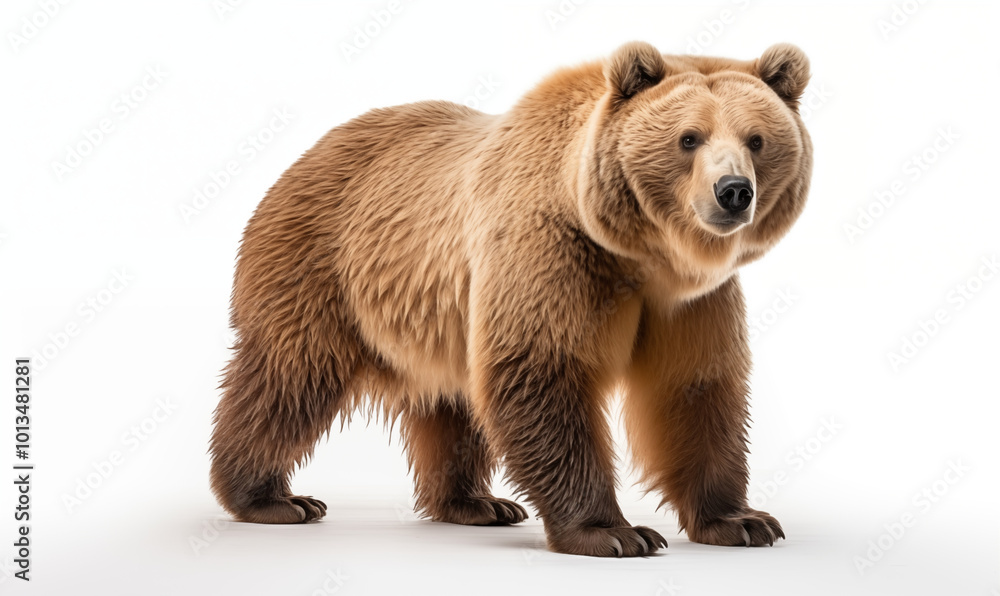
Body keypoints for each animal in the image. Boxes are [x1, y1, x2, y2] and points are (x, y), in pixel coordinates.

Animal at [209, 41, 812, 557]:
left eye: (757, 139)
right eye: (689, 138)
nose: (733, 192)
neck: (638, 253)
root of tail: (308, 152)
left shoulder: (688, 302)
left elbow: (694, 385)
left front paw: (742, 520)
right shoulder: (549, 250)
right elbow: (542, 370)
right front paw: (614, 532)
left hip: (436, 310)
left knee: (450, 403)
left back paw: (477, 503)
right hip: (319, 263)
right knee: (289, 374)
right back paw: (271, 497)